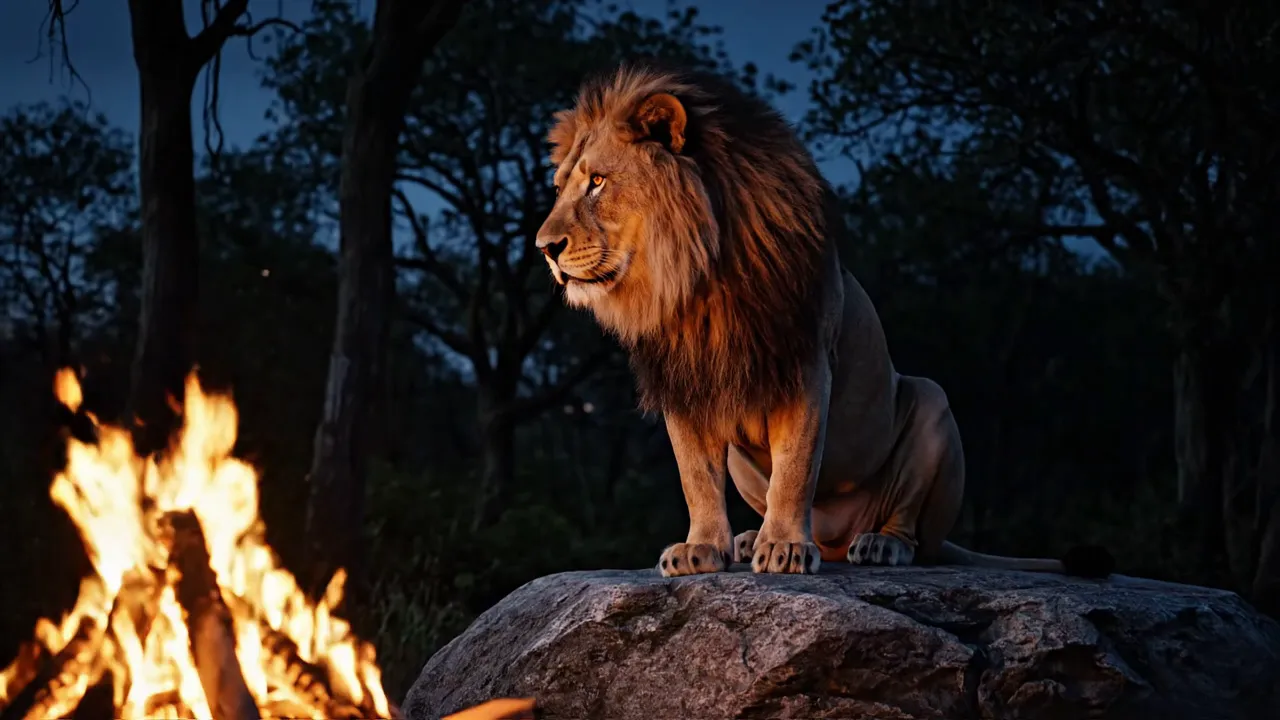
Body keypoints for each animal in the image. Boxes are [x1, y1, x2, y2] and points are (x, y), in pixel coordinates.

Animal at [534, 62, 1113, 579]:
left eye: (598, 182)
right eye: (561, 187)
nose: (544, 248)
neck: (699, 280)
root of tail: (837, 535)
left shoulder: (806, 363)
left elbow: (795, 467)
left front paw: (786, 548)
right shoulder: (685, 382)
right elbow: (695, 477)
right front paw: (702, 549)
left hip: (931, 402)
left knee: (912, 532)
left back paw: (877, 544)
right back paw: (748, 539)